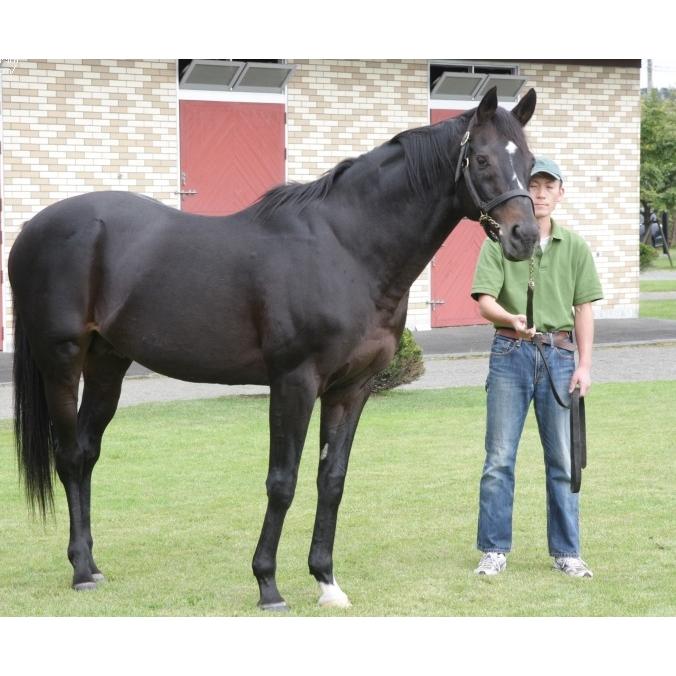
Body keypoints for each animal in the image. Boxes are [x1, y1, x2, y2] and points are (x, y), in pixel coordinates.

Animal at [9, 86, 538, 611]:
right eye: (482, 158)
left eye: (530, 161)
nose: (527, 236)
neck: (347, 249)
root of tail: (32, 229)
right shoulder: (294, 382)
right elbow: (282, 481)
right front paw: (268, 585)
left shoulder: (353, 388)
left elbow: (332, 480)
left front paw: (326, 581)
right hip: (62, 360)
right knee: (70, 456)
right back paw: (80, 572)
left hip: (108, 363)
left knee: (88, 452)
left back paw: (93, 565)